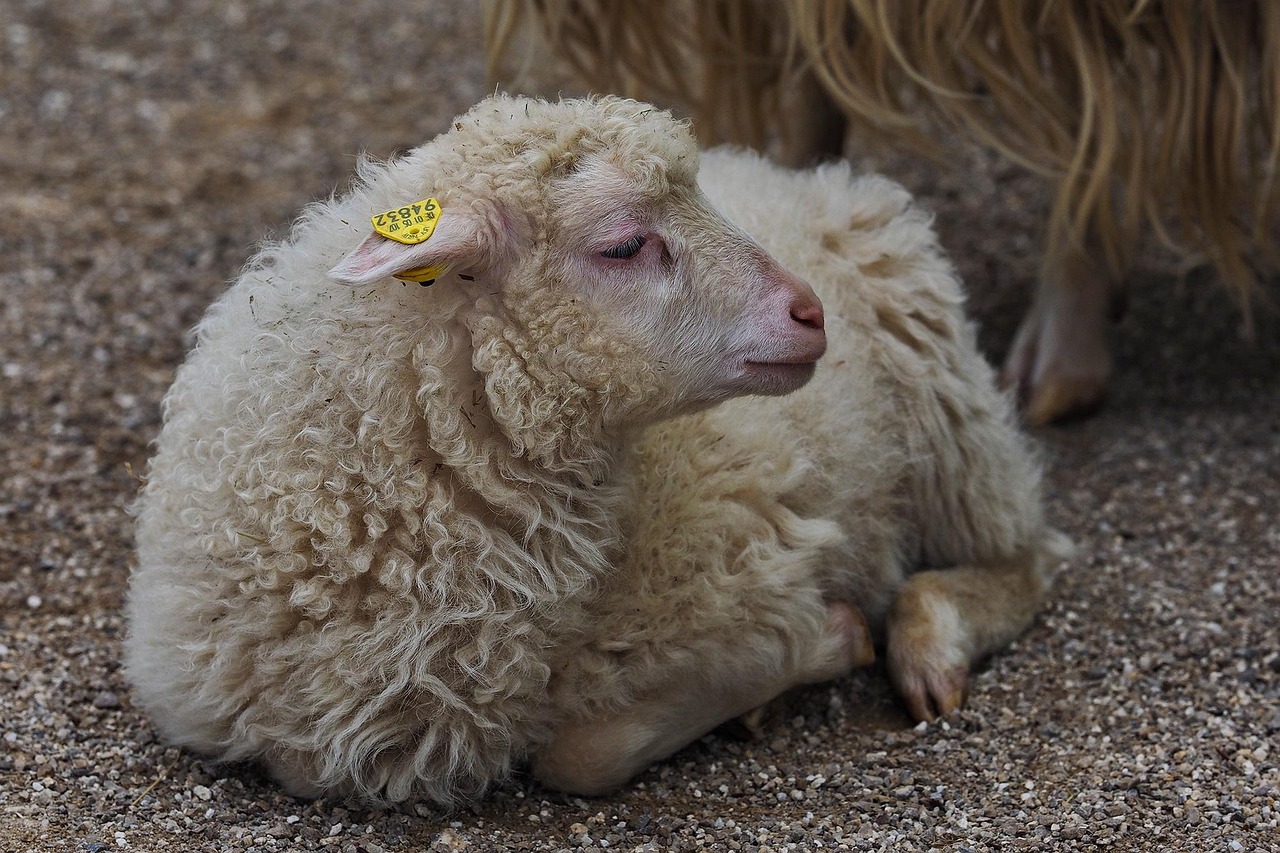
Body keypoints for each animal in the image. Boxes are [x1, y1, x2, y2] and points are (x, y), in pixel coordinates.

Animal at [124, 94, 1070, 804]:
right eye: (621, 244)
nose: (810, 311)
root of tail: (789, 172)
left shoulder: (763, 559)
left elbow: (578, 756)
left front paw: (823, 644)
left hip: (944, 386)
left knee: (1024, 557)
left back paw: (929, 643)